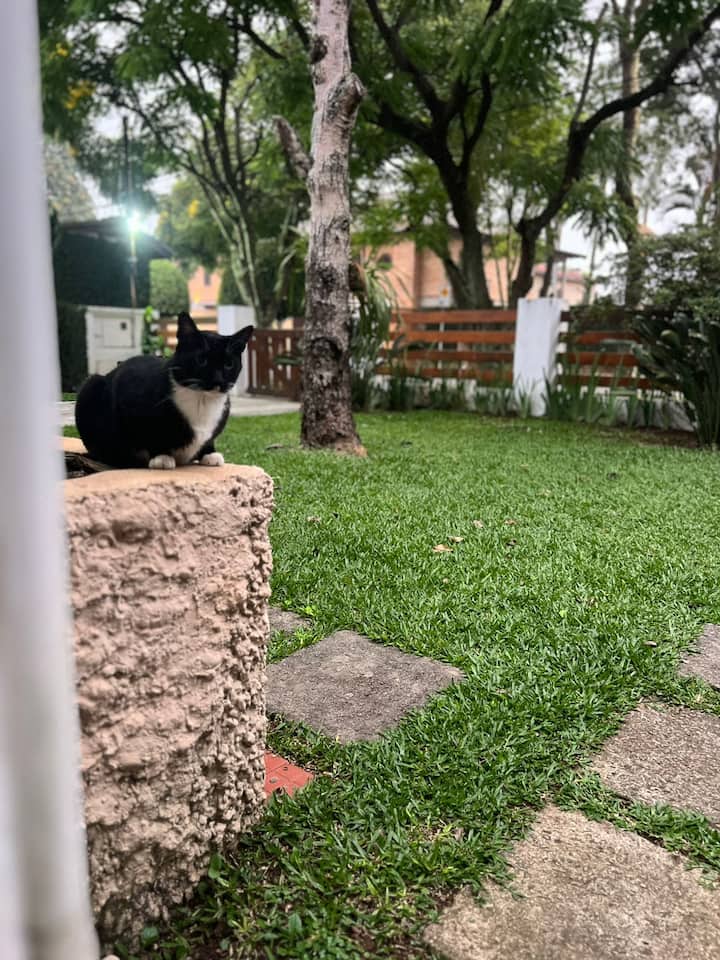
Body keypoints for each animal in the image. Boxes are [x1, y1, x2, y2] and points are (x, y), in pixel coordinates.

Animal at [75, 312, 253, 469]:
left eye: (229, 364)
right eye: (201, 360)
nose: (218, 381)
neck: (201, 399)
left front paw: (210, 454)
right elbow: (149, 431)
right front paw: (161, 457)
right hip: (90, 386)